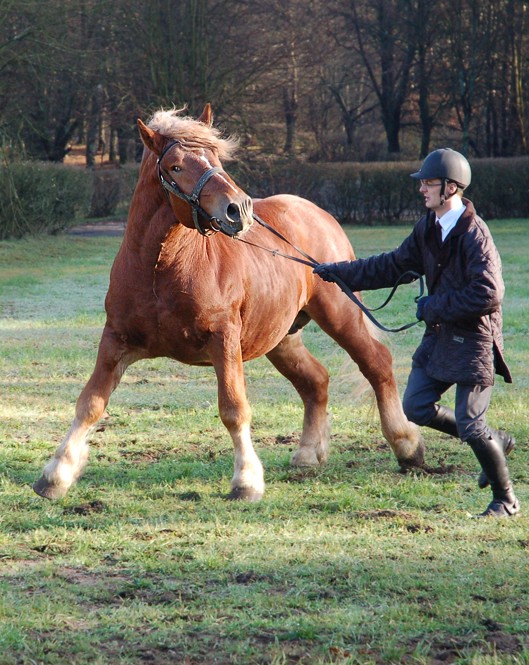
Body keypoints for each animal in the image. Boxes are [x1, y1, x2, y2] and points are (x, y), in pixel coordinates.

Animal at [33, 105, 422, 498]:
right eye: (175, 166)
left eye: (217, 158)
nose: (238, 209)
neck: (161, 269)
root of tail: (319, 215)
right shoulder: (115, 340)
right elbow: (90, 403)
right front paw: (56, 474)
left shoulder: (224, 339)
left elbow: (234, 408)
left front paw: (246, 480)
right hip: (281, 338)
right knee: (316, 380)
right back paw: (308, 454)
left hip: (339, 315)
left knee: (377, 363)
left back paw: (407, 446)